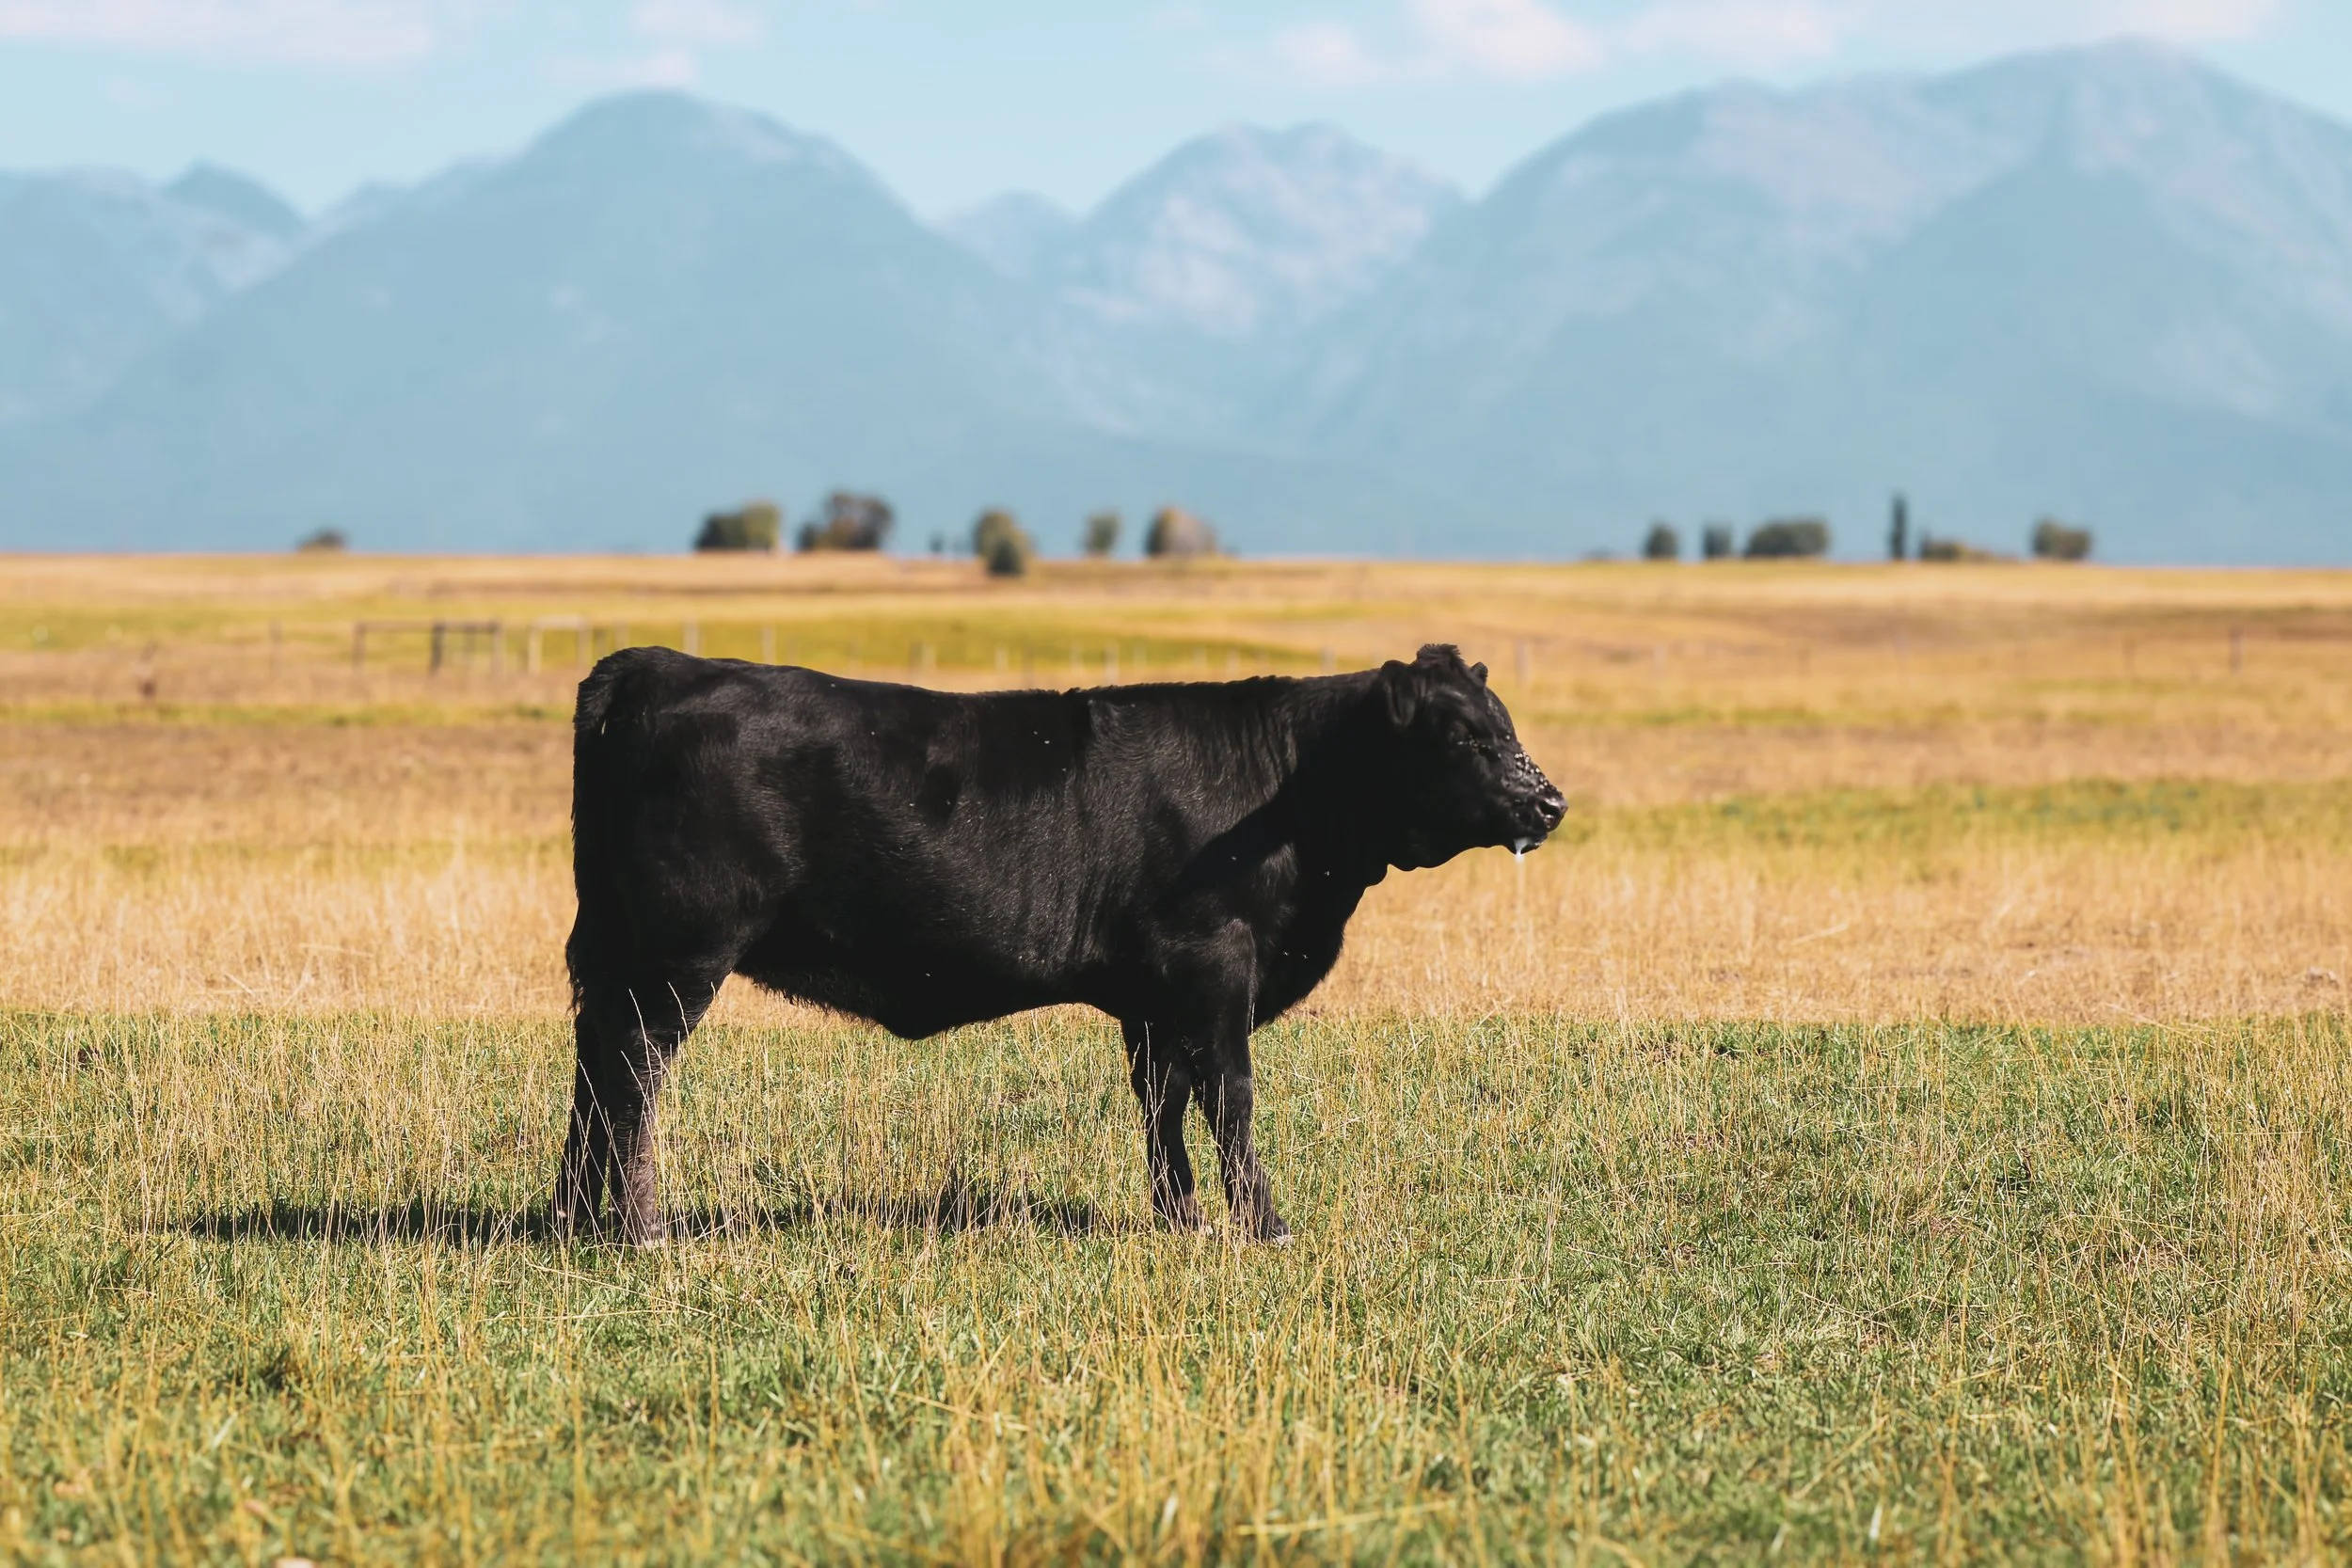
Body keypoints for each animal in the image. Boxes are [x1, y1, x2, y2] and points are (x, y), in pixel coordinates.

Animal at [555, 642, 1565, 1245]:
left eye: (1506, 724)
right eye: (1462, 734)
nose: (1550, 801)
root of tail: (659, 663)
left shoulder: (1154, 997)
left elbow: (1163, 1104)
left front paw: (1179, 1219)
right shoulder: (1213, 966)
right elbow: (1230, 1099)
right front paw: (1264, 1225)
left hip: (619, 953)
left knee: (594, 1072)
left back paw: (571, 1218)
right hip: (678, 954)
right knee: (634, 1074)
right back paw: (640, 1228)